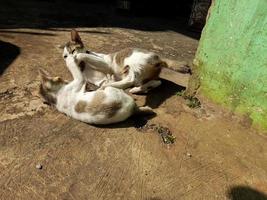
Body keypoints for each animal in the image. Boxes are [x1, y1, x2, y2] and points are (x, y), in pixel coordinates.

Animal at [62, 28, 191, 94]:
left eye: (73, 50)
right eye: (65, 56)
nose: (69, 58)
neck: (84, 67)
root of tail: (158, 57)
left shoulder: (106, 64)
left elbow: (84, 55)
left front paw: (77, 58)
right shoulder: (100, 79)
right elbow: (105, 80)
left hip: (132, 61)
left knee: (131, 79)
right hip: (142, 76)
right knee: (156, 82)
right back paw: (138, 89)